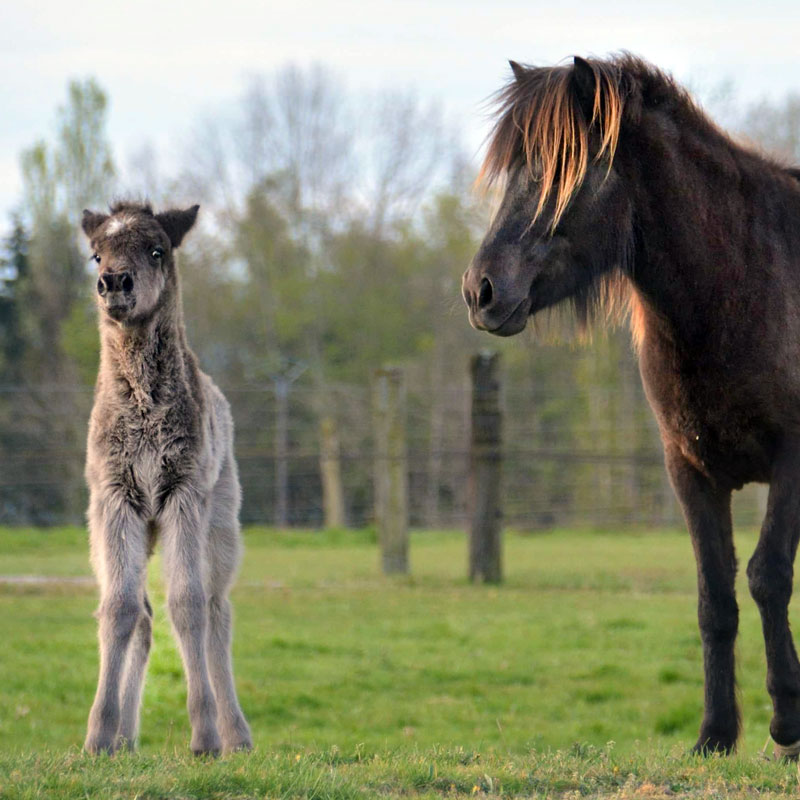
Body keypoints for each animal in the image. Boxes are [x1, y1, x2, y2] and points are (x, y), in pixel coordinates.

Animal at [81, 203, 250, 752]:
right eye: (96, 254)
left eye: (157, 249)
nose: (114, 283)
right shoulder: (115, 499)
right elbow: (119, 608)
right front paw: (98, 735)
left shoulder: (183, 494)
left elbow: (189, 604)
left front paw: (204, 736)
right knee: (144, 616)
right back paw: (124, 738)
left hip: (220, 521)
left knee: (217, 610)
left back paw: (236, 734)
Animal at [462, 56, 800, 756]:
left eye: (567, 168)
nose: (480, 291)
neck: (743, 284)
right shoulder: (689, 470)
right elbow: (714, 595)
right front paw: (715, 733)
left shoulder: (793, 457)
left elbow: (768, 576)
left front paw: (787, 721)